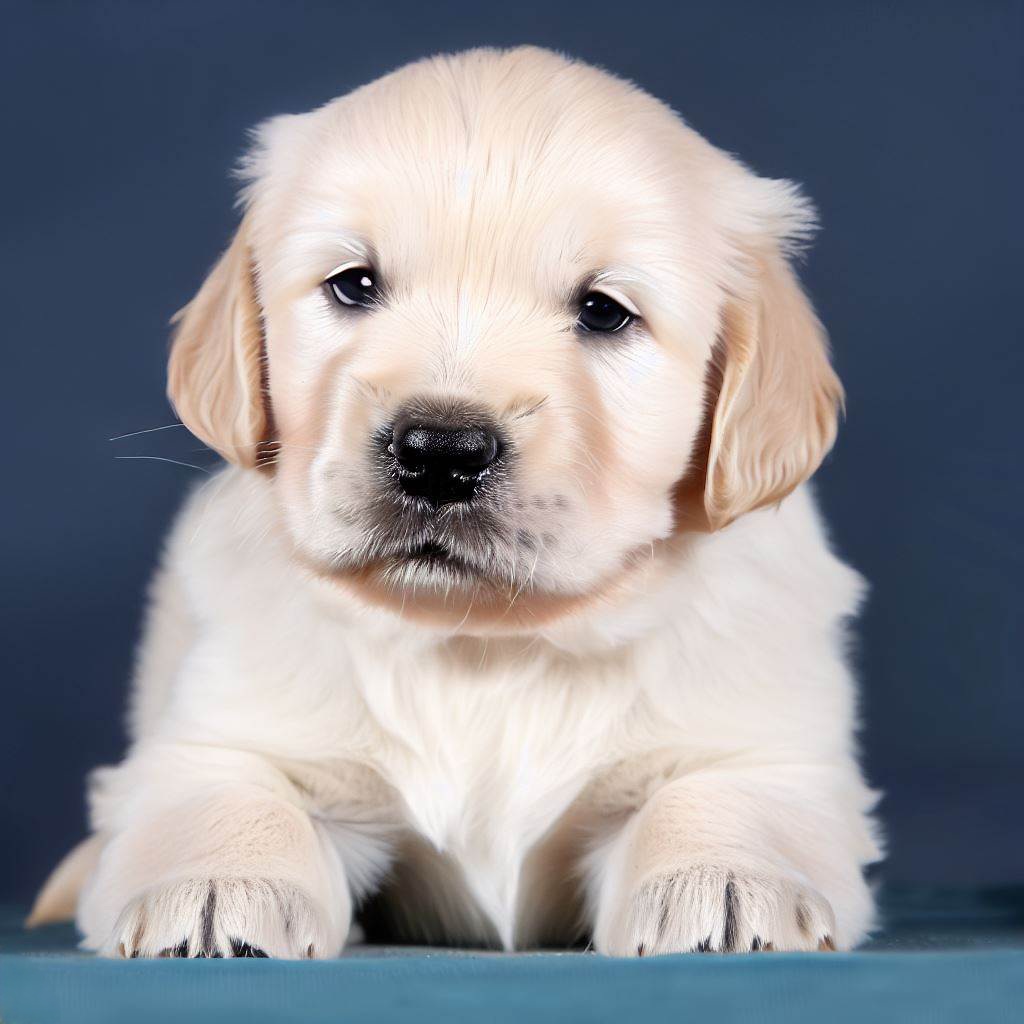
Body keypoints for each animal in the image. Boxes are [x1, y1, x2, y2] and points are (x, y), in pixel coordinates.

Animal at [32, 46, 880, 958]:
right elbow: (231, 792)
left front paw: (726, 880)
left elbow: (722, 793)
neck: (483, 645)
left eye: (603, 311)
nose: (440, 453)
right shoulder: (219, 731)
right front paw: (218, 882)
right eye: (353, 285)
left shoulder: (765, 742)